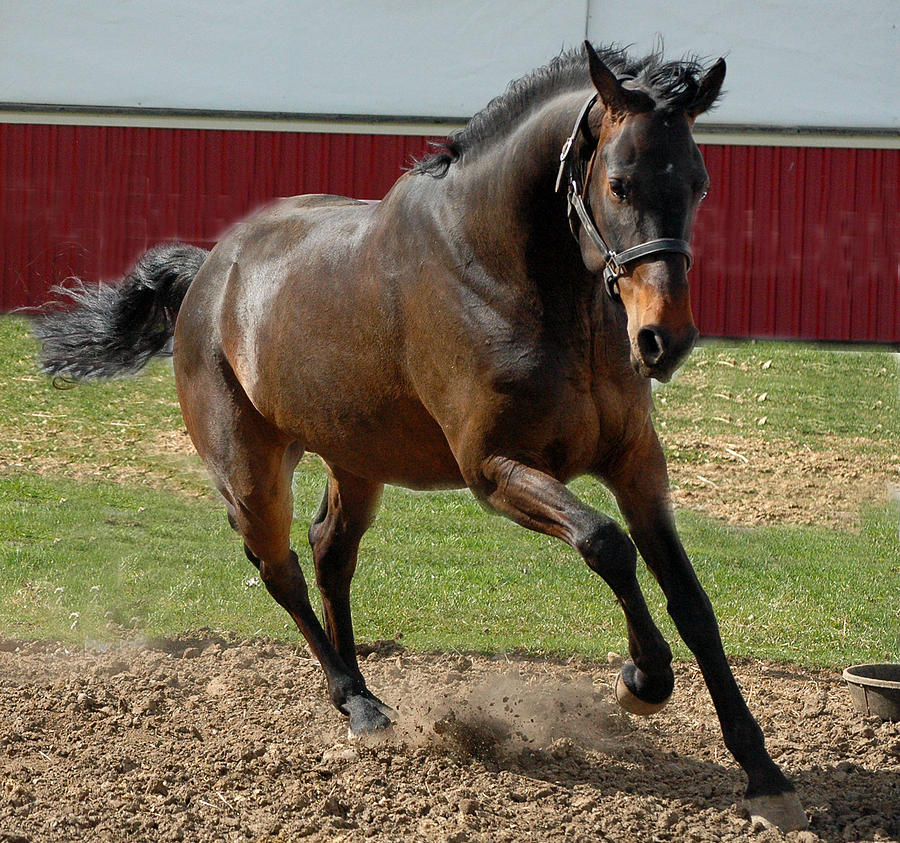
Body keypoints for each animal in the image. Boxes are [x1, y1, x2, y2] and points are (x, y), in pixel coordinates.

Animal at [31, 44, 808, 832]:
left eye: (699, 185)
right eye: (618, 183)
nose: (663, 340)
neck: (511, 279)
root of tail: (207, 272)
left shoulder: (635, 464)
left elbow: (693, 603)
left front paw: (763, 773)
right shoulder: (495, 470)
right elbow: (605, 544)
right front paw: (641, 678)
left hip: (355, 459)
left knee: (328, 553)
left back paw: (366, 692)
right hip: (251, 470)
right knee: (279, 568)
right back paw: (358, 704)